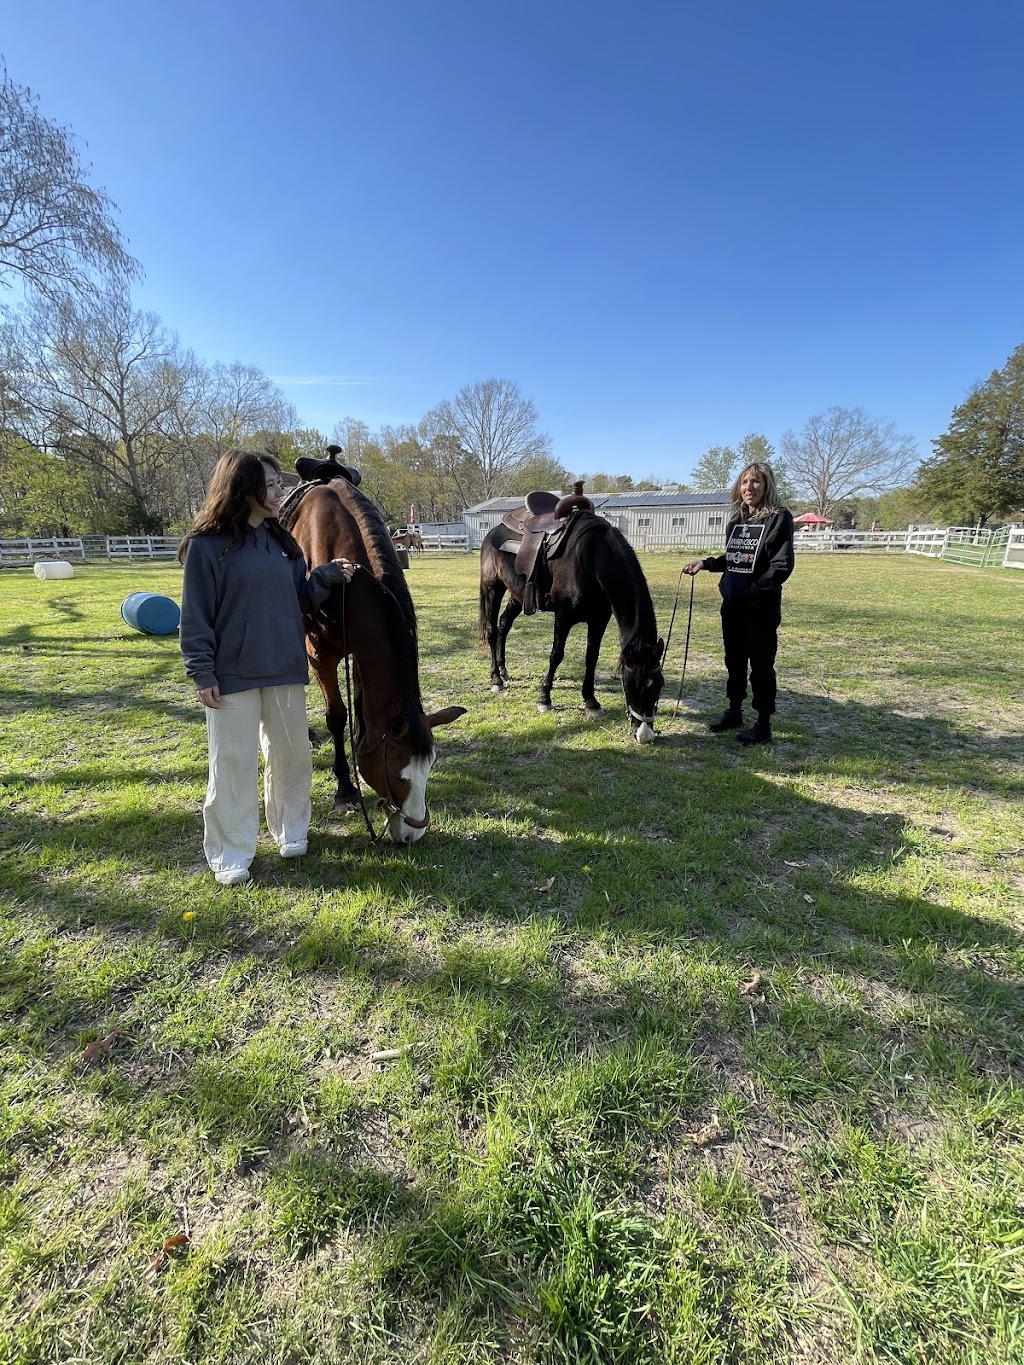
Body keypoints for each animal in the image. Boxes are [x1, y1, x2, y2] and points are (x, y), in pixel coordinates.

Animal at [285, 480, 469, 840]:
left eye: (430, 767)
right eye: (396, 774)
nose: (412, 833)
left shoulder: (359, 653)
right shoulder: (320, 655)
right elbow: (337, 717)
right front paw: (345, 789)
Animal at [480, 513, 666, 748]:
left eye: (659, 684)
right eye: (631, 684)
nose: (644, 735)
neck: (590, 558)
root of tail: (492, 533)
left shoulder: (599, 620)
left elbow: (591, 658)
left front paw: (591, 702)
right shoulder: (563, 616)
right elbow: (556, 655)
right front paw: (544, 699)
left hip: (517, 595)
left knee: (504, 625)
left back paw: (504, 671)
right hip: (492, 588)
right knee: (492, 631)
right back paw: (496, 679)